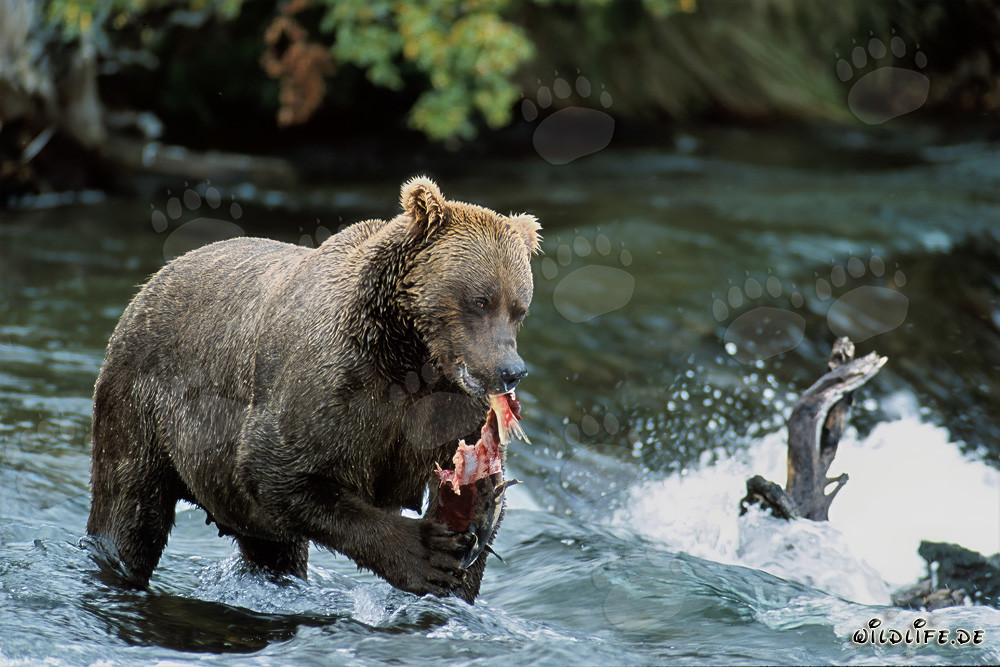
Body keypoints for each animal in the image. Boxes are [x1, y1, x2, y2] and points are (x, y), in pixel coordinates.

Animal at [86, 177, 541, 603]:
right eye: (480, 300)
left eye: (519, 308)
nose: (511, 371)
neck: (409, 358)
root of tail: (150, 283)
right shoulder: (330, 389)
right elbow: (276, 471)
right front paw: (424, 555)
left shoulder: (448, 408)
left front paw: (474, 525)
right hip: (141, 402)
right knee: (129, 509)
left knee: (272, 549)